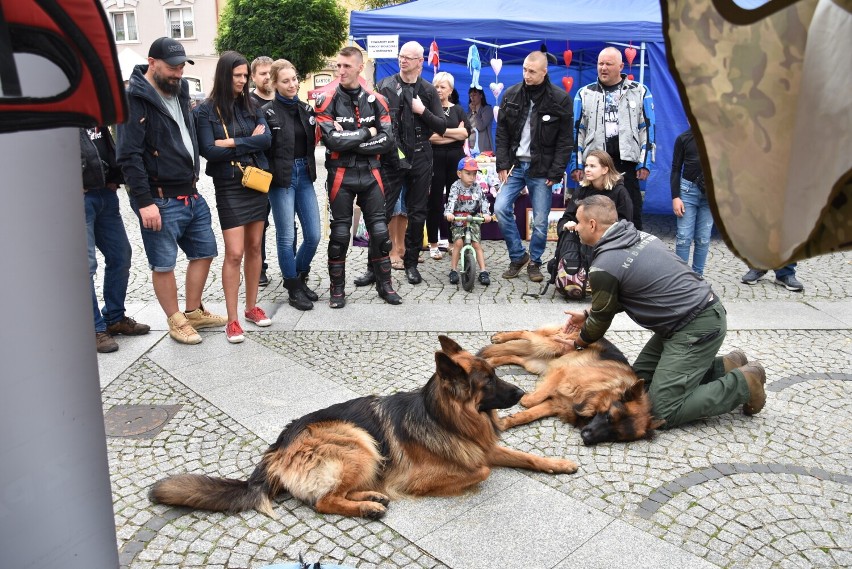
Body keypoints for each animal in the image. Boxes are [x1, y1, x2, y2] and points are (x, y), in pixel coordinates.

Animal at [151, 338, 580, 520]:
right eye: (488, 382)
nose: (522, 393)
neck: (441, 415)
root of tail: (276, 450)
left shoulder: (484, 445)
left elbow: (527, 457)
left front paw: (559, 464)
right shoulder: (437, 471)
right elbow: (482, 470)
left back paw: (371, 496)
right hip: (358, 441)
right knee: (323, 502)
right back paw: (369, 506)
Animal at [480, 326, 664, 446]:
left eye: (616, 435)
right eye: (609, 417)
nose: (587, 438)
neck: (602, 390)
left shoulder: (556, 404)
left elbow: (528, 414)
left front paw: (504, 423)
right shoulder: (562, 372)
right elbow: (529, 402)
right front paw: (524, 397)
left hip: (536, 363)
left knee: (513, 356)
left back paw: (491, 361)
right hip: (553, 344)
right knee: (527, 333)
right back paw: (500, 338)